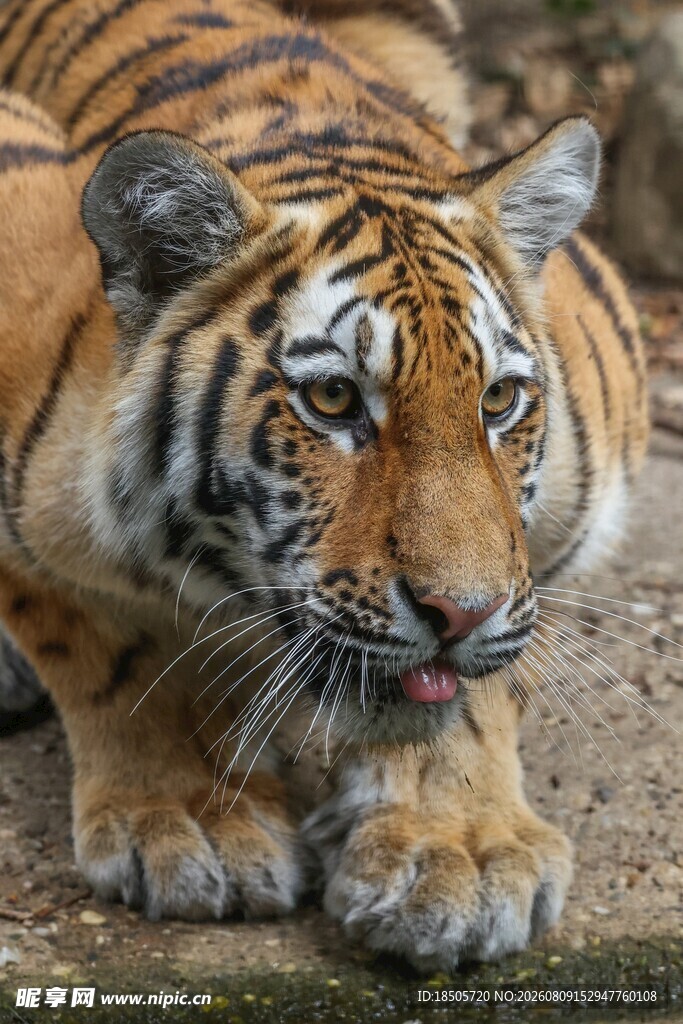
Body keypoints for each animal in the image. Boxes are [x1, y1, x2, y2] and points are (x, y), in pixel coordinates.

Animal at [0, 0, 647, 971]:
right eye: (334, 399)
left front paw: (455, 852)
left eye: (497, 400)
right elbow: (112, 646)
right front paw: (190, 822)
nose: (458, 614)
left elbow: (486, 678)